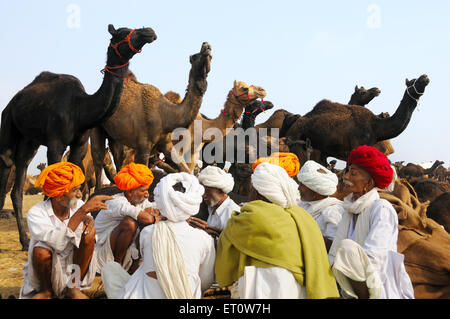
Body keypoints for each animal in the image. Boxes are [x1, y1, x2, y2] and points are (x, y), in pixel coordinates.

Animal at [0, 25, 156, 250]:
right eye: (120, 32)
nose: (149, 31)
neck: (81, 109)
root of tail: (13, 102)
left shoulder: (80, 144)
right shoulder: (55, 143)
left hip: (30, 141)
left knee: (19, 176)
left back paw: (24, 240)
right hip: (8, 123)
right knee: (6, 161)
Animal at [91, 41, 213, 189]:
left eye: (211, 56)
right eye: (195, 57)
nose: (206, 46)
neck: (165, 115)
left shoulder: (166, 144)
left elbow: (185, 170)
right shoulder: (143, 145)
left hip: (115, 135)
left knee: (118, 157)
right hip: (97, 126)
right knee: (98, 159)